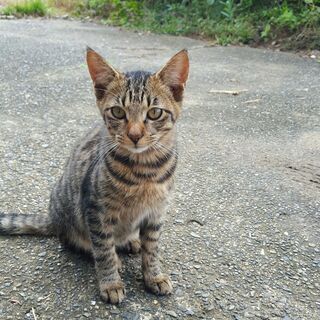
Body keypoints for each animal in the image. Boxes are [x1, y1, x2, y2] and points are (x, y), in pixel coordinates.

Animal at [0, 48, 189, 304]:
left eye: (154, 113)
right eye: (118, 112)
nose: (135, 135)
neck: (145, 171)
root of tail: (53, 218)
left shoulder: (156, 212)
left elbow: (152, 249)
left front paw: (154, 276)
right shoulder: (96, 211)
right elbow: (104, 250)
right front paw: (111, 283)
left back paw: (132, 241)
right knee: (84, 244)